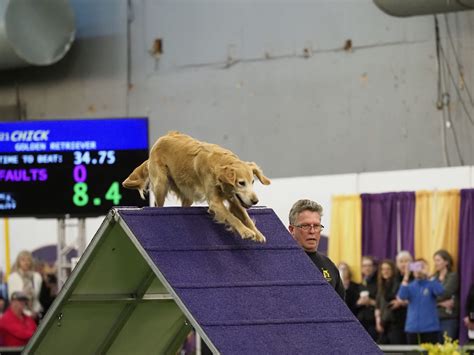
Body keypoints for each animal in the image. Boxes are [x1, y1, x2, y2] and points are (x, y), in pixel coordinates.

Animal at [122, 132, 270, 243]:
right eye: (241, 183)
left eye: (253, 182)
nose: (255, 201)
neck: (220, 164)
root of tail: (162, 138)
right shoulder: (215, 202)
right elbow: (231, 217)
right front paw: (245, 231)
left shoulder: (234, 199)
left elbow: (246, 217)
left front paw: (257, 233)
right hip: (161, 184)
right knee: (158, 204)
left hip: (187, 194)